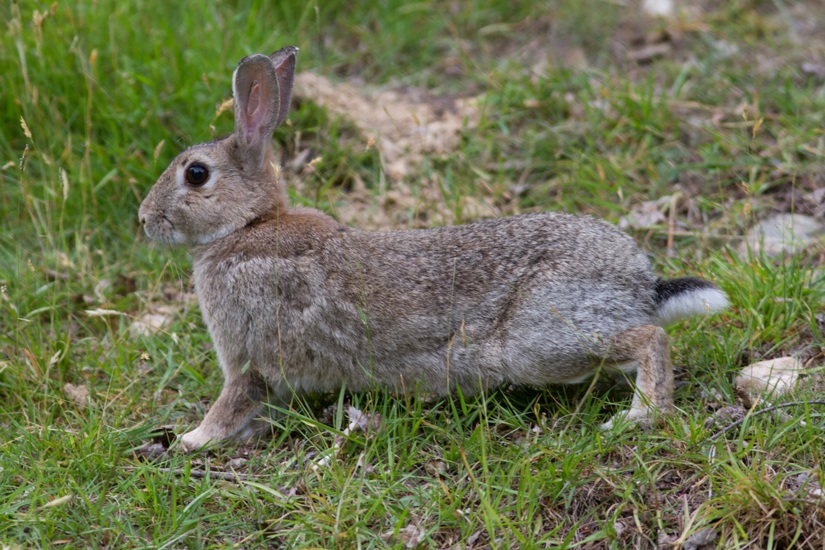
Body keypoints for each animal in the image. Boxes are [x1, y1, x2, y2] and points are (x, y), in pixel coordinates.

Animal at [138, 46, 729, 452]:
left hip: (540, 340)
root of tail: (641, 284)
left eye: (195, 174)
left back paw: (640, 415)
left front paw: (190, 440)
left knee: (651, 339)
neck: (246, 226)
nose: (144, 219)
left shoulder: (247, 356)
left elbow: (230, 403)